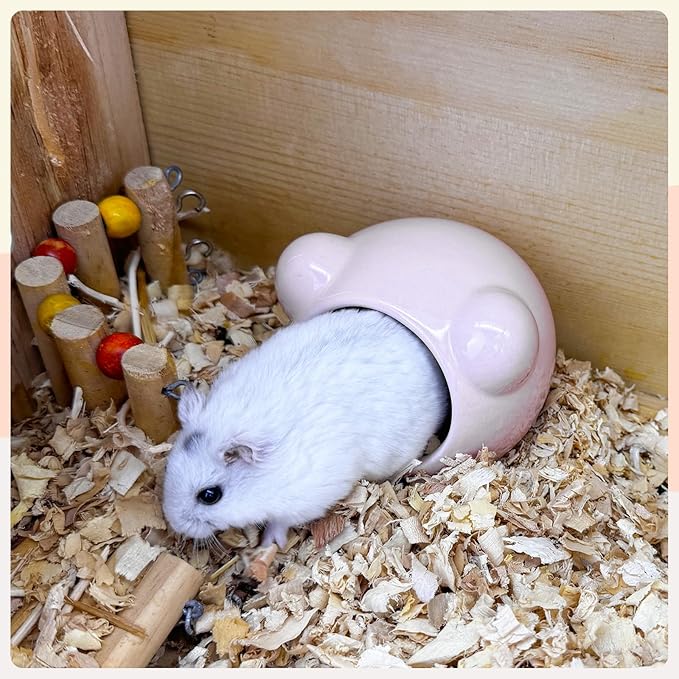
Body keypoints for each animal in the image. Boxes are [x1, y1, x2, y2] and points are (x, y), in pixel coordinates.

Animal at [162, 308, 449, 548]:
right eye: (168, 469)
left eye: (210, 496)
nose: (176, 525)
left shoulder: (305, 499)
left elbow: (280, 522)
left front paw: (267, 545)